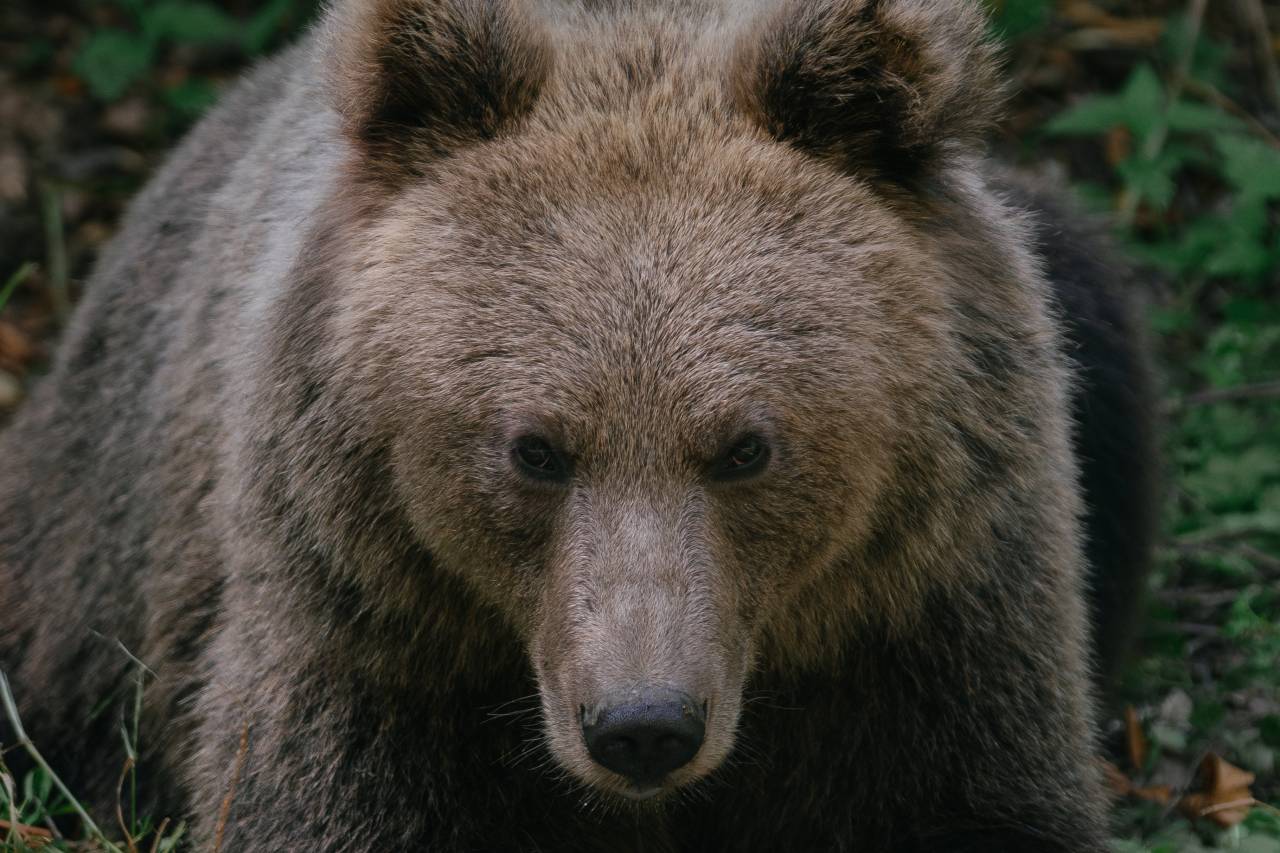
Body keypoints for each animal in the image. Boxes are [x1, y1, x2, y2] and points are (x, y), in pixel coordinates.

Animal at [0, 0, 1162, 845]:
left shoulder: (925, 618)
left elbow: (971, 799)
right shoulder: (369, 634)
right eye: (535, 448)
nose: (642, 726)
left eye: (745, 446)